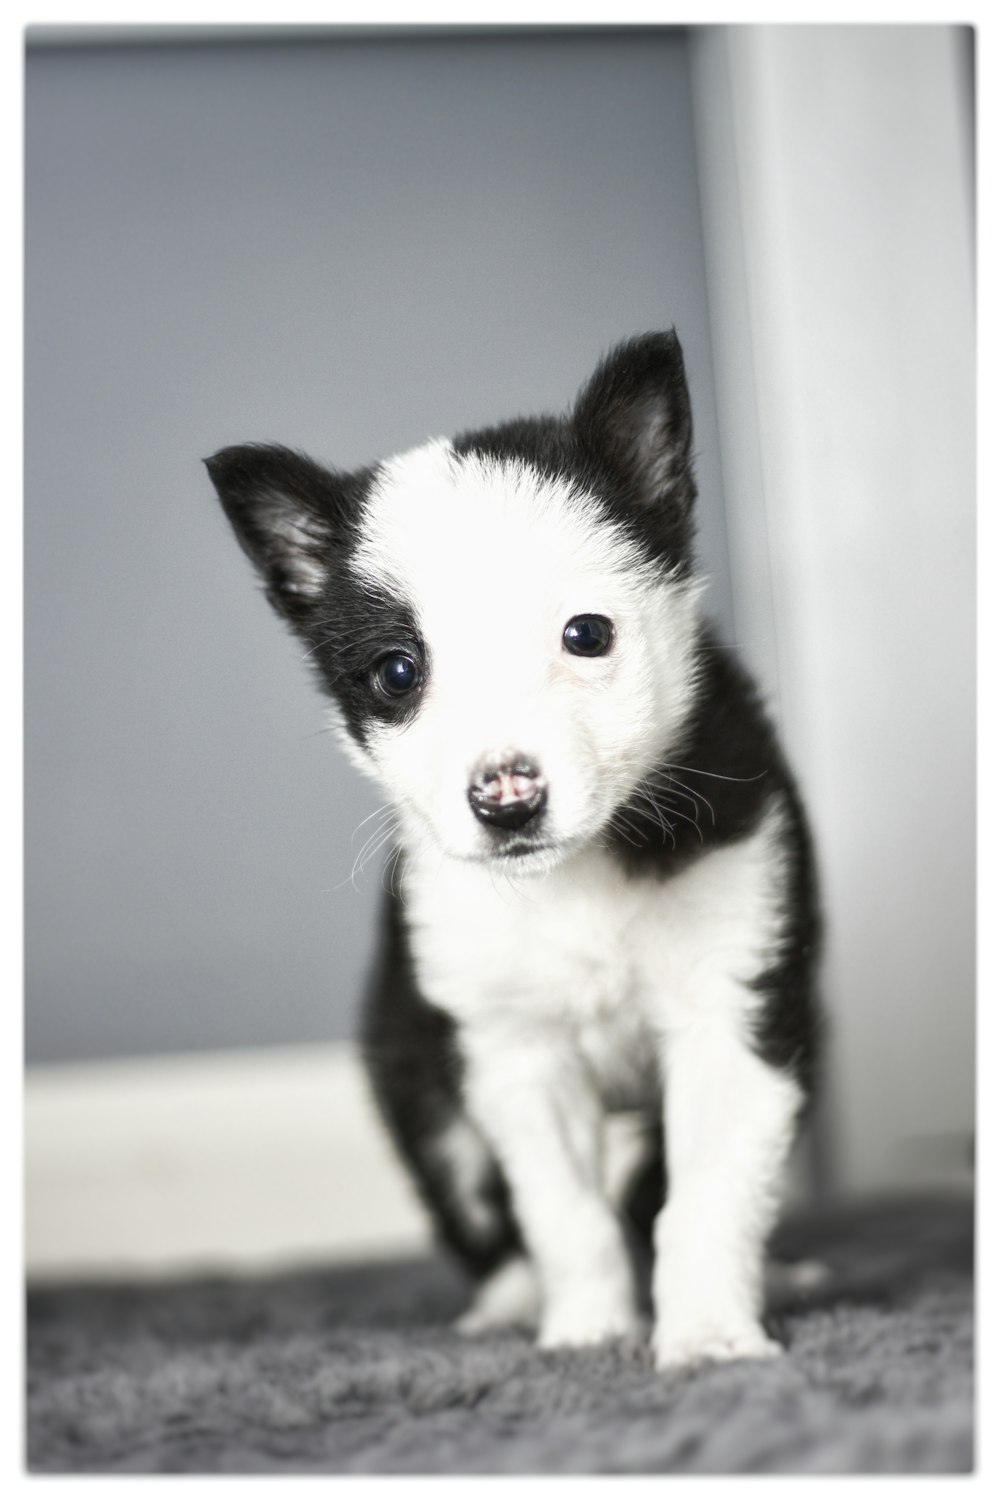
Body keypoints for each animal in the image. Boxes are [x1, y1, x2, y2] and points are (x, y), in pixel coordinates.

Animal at [205, 334, 821, 1368]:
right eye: (397, 672)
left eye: (588, 634)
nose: (507, 798)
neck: (579, 879)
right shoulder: (514, 1055)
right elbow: (565, 1214)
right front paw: (589, 1335)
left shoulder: (730, 1004)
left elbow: (706, 1194)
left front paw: (707, 1338)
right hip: (414, 1072)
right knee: (482, 1214)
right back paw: (508, 1307)